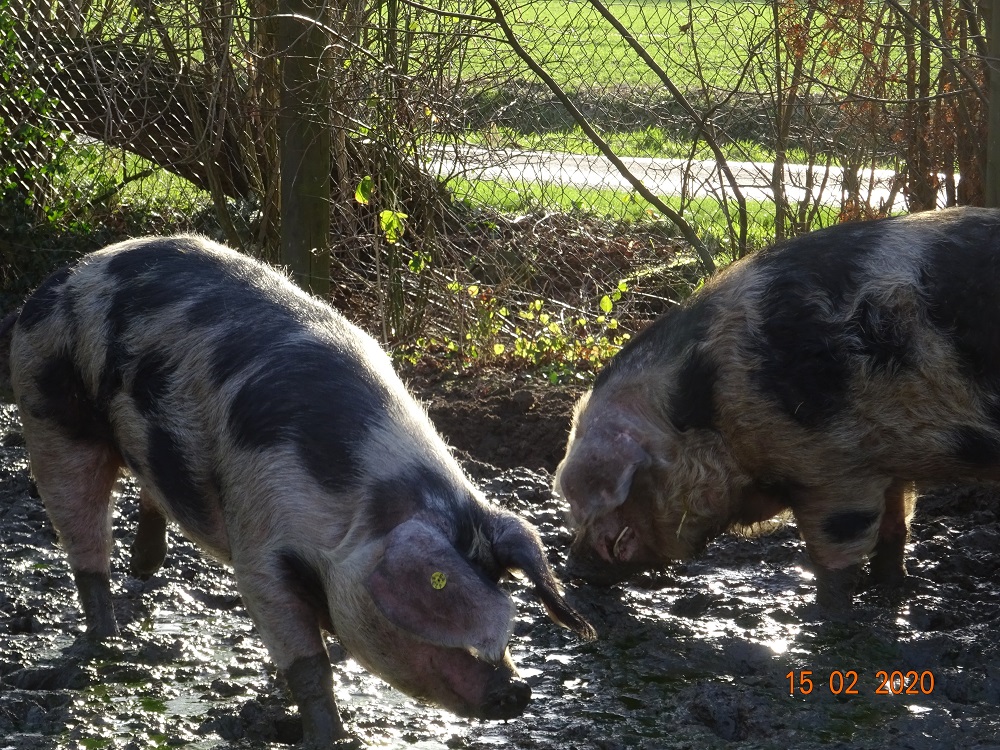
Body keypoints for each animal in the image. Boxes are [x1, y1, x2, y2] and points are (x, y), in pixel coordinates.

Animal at [0, 234, 595, 747]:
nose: (518, 690)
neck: (356, 505)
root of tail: (57, 281)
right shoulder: (260, 546)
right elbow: (310, 665)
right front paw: (331, 738)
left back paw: (144, 570)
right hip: (48, 416)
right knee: (84, 540)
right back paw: (105, 642)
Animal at [555, 206, 1000, 612]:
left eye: (618, 496)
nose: (572, 569)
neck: (712, 403)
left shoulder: (834, 466)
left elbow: (834, 554)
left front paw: (826, 616)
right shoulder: (887, 460)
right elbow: (896, 527)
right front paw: (891, 591)